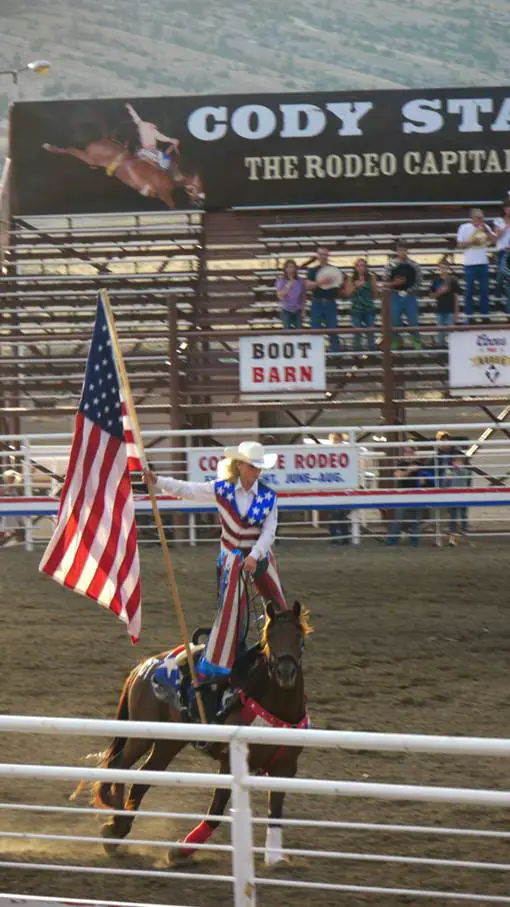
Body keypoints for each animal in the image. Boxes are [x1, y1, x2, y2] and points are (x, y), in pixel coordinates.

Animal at [42, 139, 205, 210]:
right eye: (198, 185)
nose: (201, 200)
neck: (171, 177)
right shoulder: (165, 195)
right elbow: (172, 206)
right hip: (89, 157)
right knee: (71, 150)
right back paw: (49, 147)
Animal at [75, 600, 310, 868]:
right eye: (270, 636)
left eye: (298, 635)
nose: (285, 672)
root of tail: (146, 665)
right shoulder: (231, 763)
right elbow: (215, 812)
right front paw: (180, 851)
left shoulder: (286, 768)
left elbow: (275, 814)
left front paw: (275, 856)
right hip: (142, 734)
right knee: (119, 765)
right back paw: (114, 820)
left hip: (169, 743)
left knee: (142, 779)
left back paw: (119, 829)